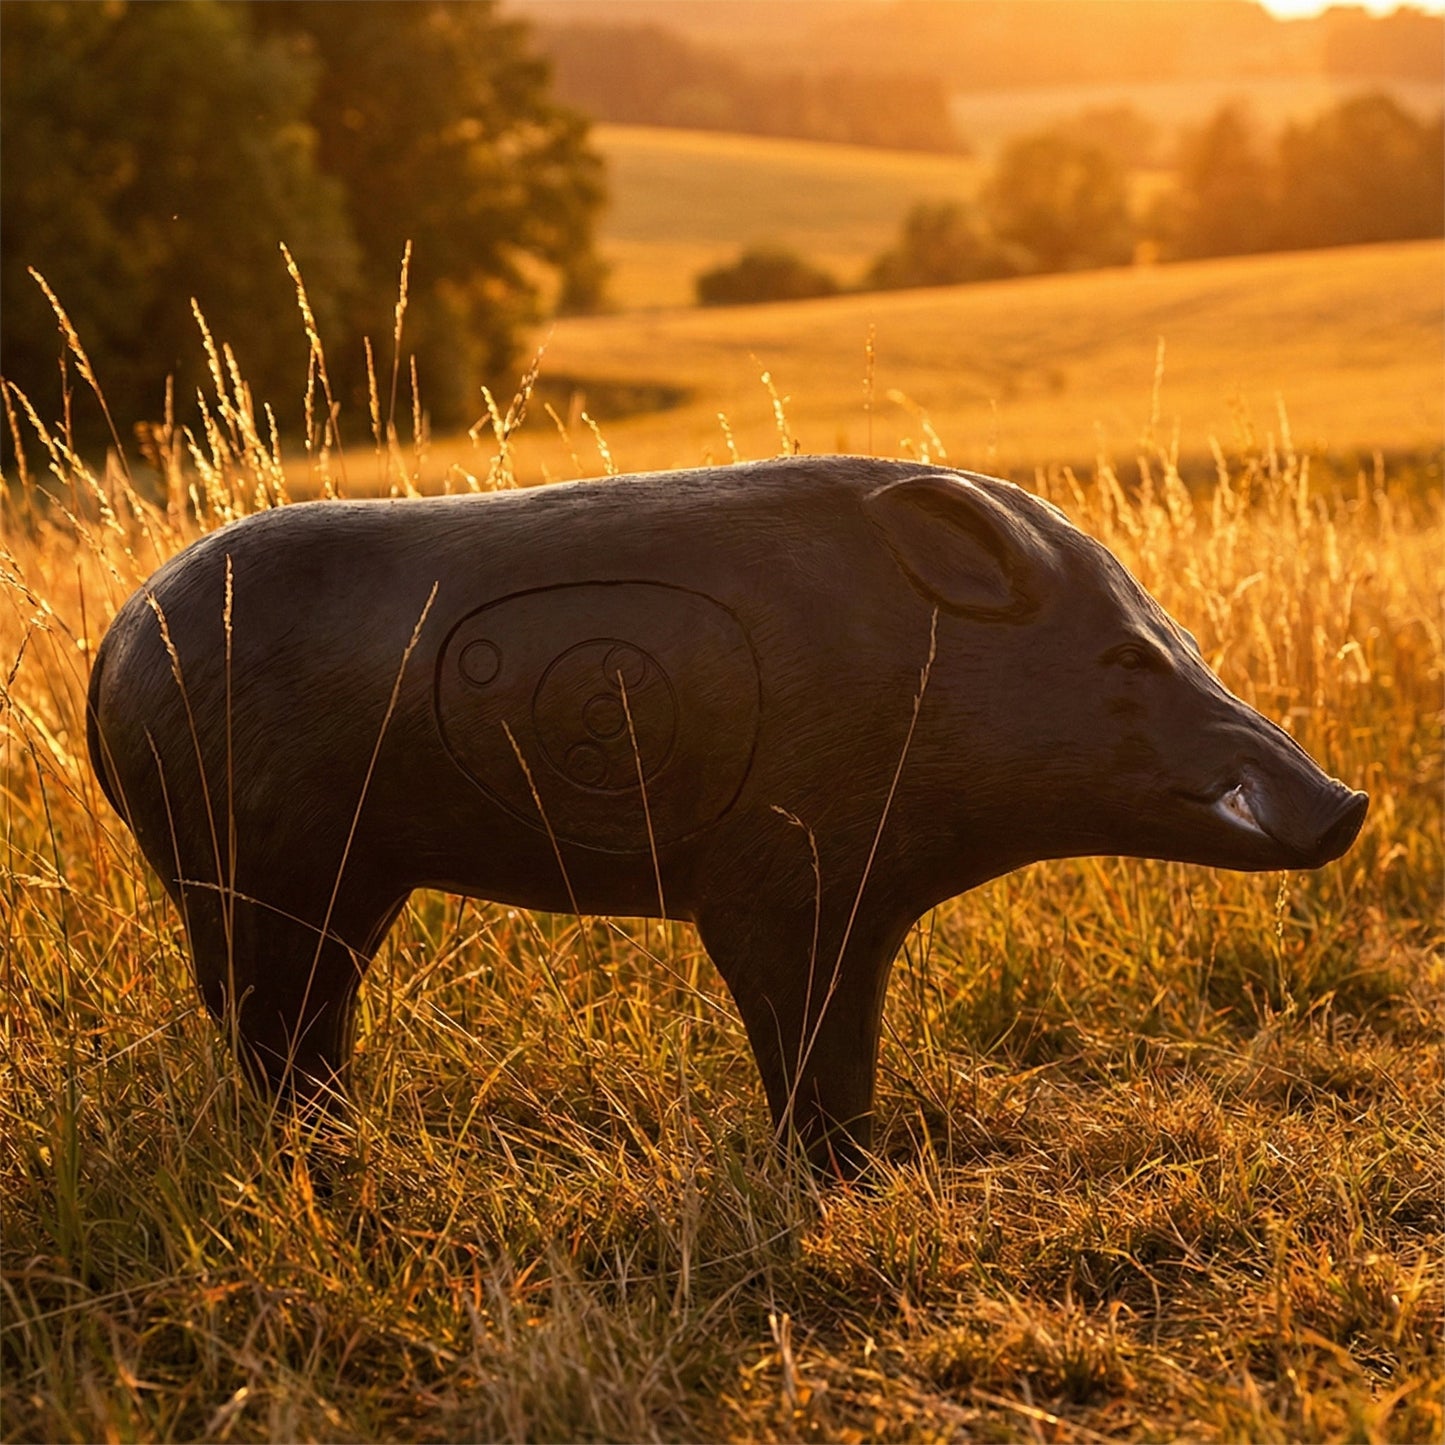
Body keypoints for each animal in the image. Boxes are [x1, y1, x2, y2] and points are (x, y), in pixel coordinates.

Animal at [86, 458, 1368, 1174]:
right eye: (1124, 658)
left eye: (1182, 640)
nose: (1345, 801)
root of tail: (113, 646)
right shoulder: (778, 877)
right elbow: (805, 1034)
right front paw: (837, 1180)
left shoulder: (859, 892)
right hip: (256, 856)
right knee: (267, 1015)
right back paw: (325, 1160)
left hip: (344, 875)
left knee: (301, 1015)